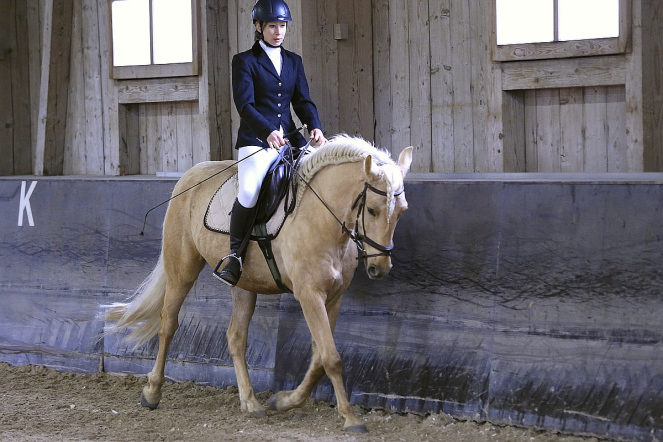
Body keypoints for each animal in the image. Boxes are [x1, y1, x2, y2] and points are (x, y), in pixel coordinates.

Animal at [104, 135, 412, 432]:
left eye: (402, 212)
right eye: (371, 210)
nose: (379, 268)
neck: (321, 218)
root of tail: (190, 175)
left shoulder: (333, 297)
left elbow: (319, 358)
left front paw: (285, 401)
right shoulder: (309, 295)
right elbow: (331, 358)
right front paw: (350, 418)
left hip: (244, 285)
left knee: (235, 337)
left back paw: (250, 402)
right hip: (182, 268)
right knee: (168, 323)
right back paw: (152, 393)